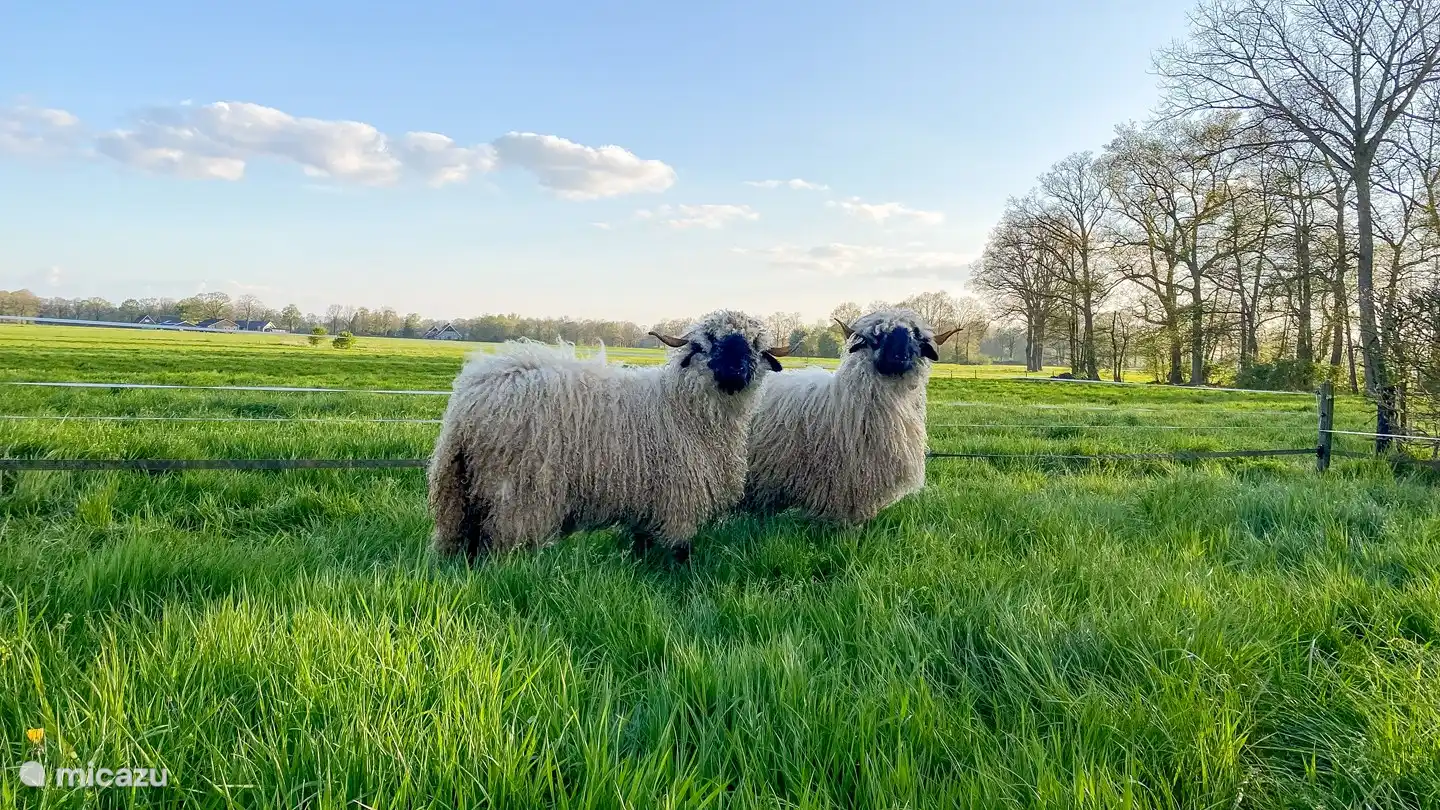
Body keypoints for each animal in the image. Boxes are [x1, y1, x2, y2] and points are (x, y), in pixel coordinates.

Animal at [427, 310, 788, 562]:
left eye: (755, 346)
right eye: (706, 342)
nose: (736, 371)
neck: (680, 405)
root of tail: (471, 402)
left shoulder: (648, 506)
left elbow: (643, 548)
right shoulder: (678, 499)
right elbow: (678, 554)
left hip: (458, 490)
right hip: (517, 493)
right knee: (501, 547)